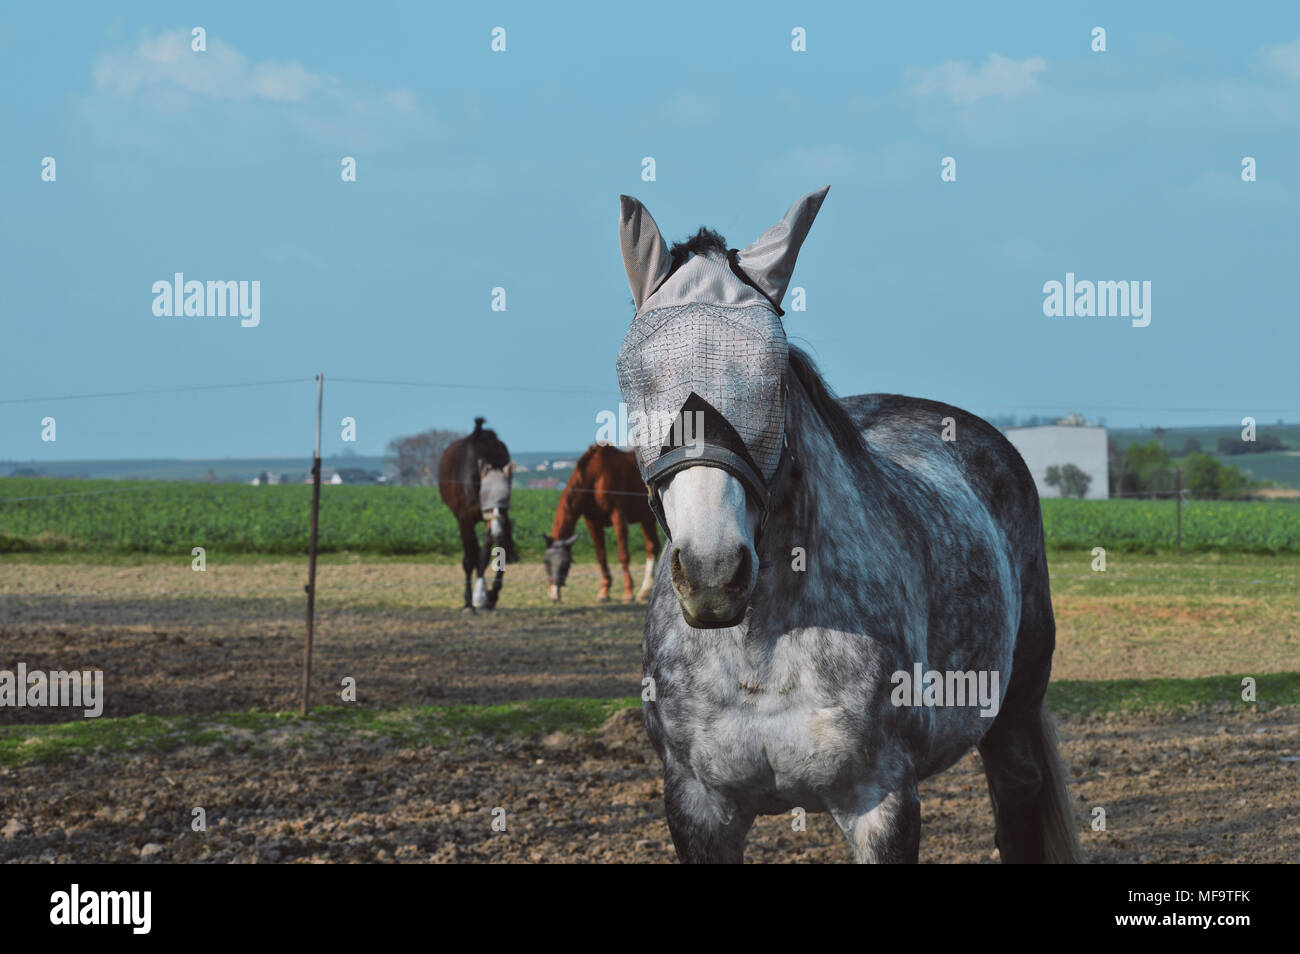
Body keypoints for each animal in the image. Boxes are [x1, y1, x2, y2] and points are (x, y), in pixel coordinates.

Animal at [437, 417, 519, 611]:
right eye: (488, 497)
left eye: (505, 500)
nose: (497, 532)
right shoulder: (464, 519)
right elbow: (470, 558)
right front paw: (470, 600)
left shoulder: (495, 520)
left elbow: (486, 554)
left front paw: (484, 596)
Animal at [543, 444, 661, 604]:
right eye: (546, 562)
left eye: (565, 564)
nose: (554, 595)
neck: (596, 477)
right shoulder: (593, 523)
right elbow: (601, 556)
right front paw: (604, 591)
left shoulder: (618, 517)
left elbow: (623, 555)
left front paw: (628, 592)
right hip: (647, 519)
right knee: (652, 547)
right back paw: (646, 591)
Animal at [615, 187, 1082, 864]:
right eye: (631, 377)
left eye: (774, 376)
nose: (712, 571)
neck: (760, 652)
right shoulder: (698, 808)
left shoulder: (880, 802)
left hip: (1014, 719)